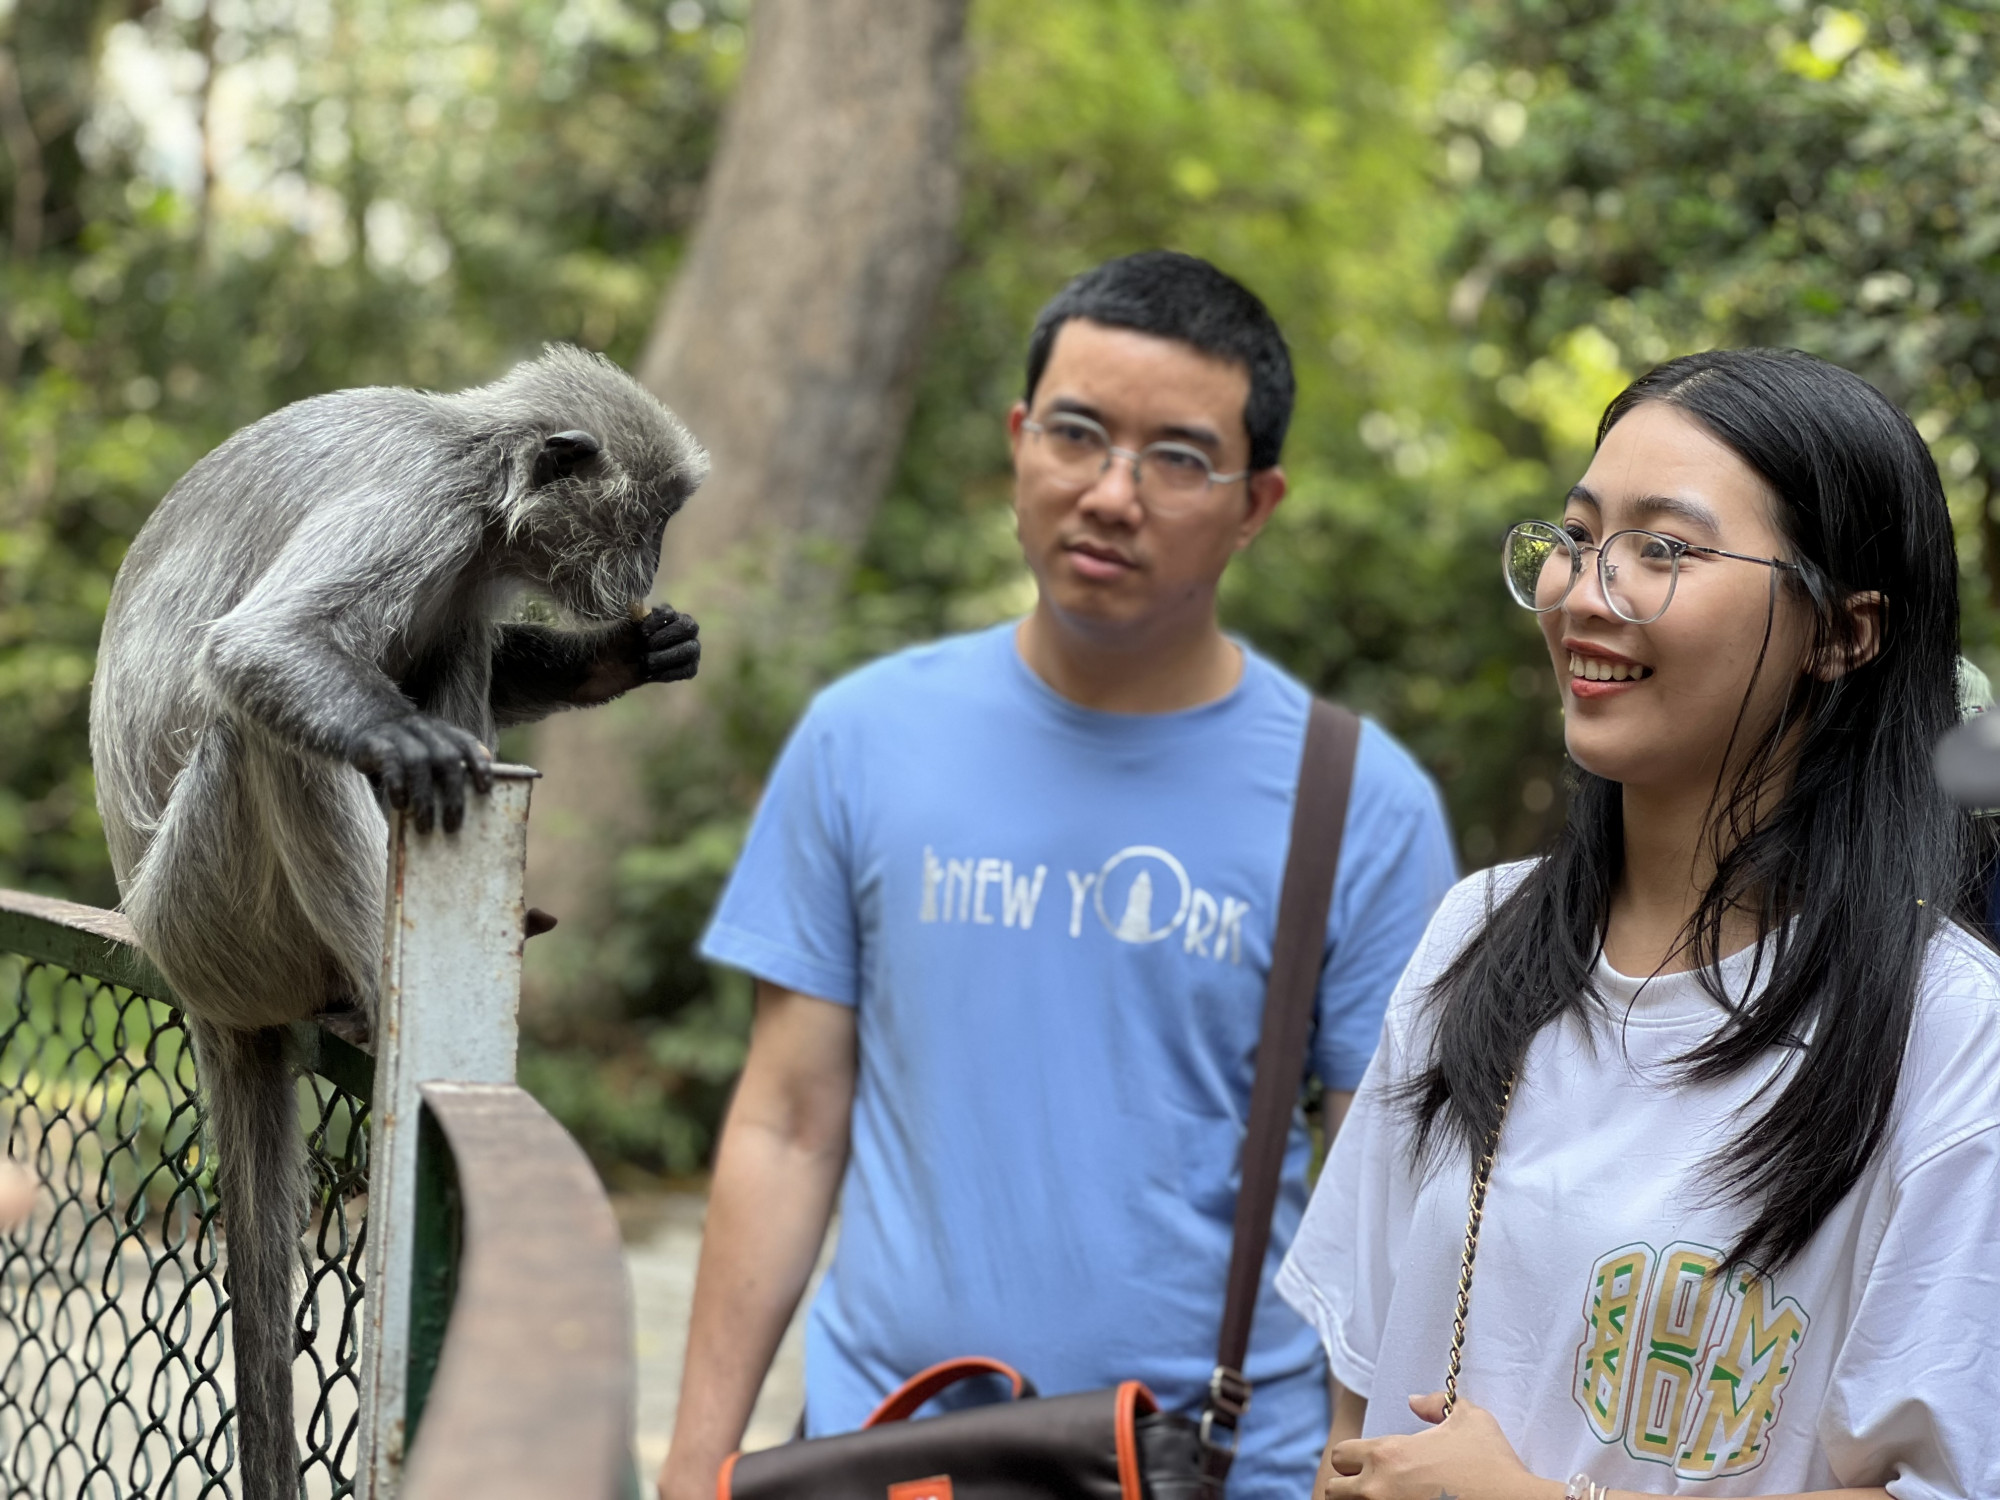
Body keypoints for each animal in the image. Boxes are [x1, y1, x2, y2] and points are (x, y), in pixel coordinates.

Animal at [90, 346, 712, 1496]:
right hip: (213, 915)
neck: (481, 467)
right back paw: (379, 1004)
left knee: (447, 644)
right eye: (647, 519)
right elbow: (260, 648)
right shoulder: (424, 500)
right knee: (261, 730)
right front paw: (404, 742)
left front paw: (610, 658)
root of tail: (176, 960)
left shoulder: (466, 550)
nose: (650, 564)